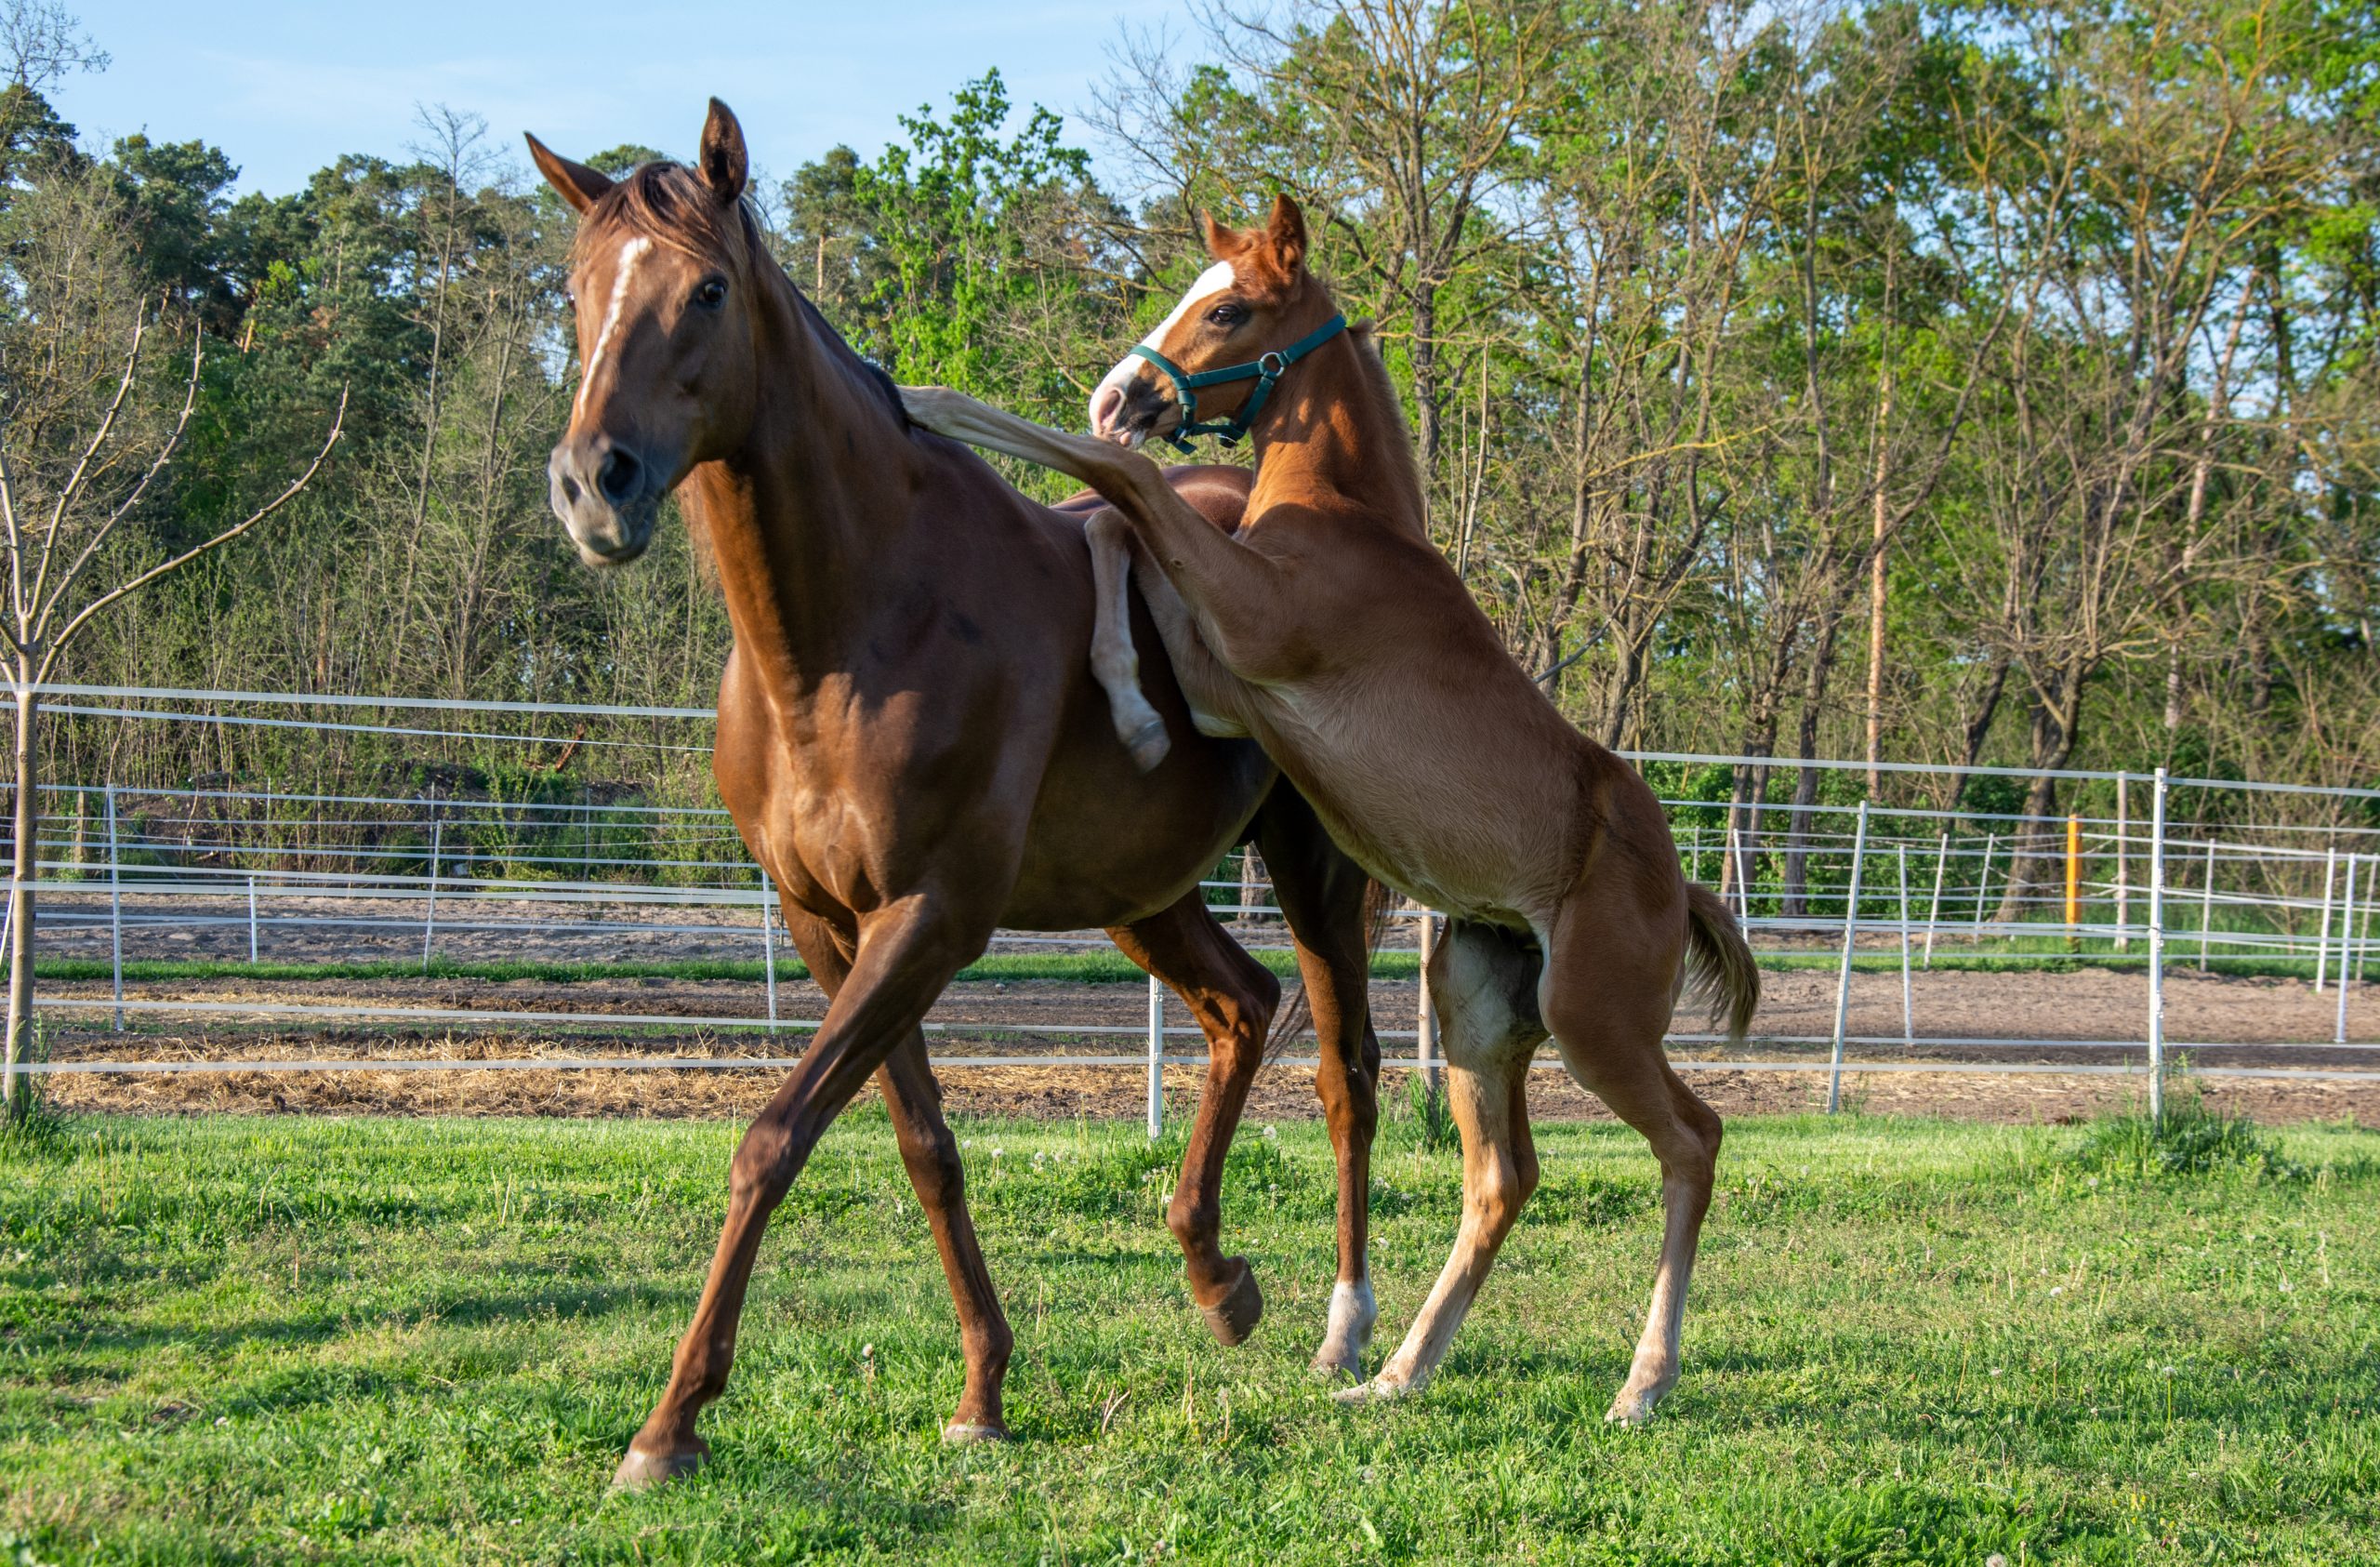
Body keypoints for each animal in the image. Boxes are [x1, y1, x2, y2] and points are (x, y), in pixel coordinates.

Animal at [521, 103, 1380, 1485]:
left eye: (706, 290)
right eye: (576, 292)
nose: (594, 483)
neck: (855, 628)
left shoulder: (929, 919)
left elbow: (772, 1138)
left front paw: (670, 1421)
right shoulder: (833, 927)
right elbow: (925, 1148)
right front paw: (982, 1384)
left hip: (1313, 872)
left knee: (1346, 1068)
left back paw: (1347, 1331)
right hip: (1141, 890)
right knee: (1241, 1009)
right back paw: (1216, 1276)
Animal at [899, 192, 1761, 1419]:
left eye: (1230, 308)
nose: (1121, 393)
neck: (1348, 524)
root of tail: (1675, 879)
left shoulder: (1246, 635)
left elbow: (1124, 487)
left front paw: (930, 398)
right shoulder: (1225, 679)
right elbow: (1118, 519)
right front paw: (1127, 693)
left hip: (1598, 1020)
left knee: (1692, 1140)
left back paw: (1639, 1383)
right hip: (1479, 1008)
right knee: (1501, 1177)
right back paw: (1395, 1370)